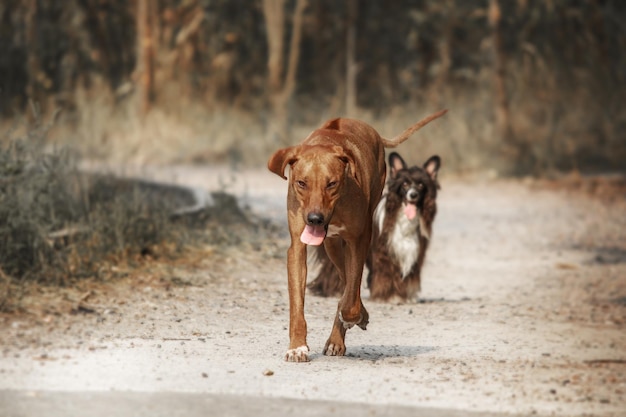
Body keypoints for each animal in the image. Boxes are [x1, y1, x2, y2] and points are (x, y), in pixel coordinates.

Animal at [266, 109, 446, 360]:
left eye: (331, 184)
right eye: (301, 183)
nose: (314, 219)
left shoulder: (358, 241)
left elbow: (351, 296)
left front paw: (355, 316)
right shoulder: (298, 247)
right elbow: (298, 304)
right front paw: (297, 346)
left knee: (350, 286)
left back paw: (342, 333)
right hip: (332, 246)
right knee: (344, 278)